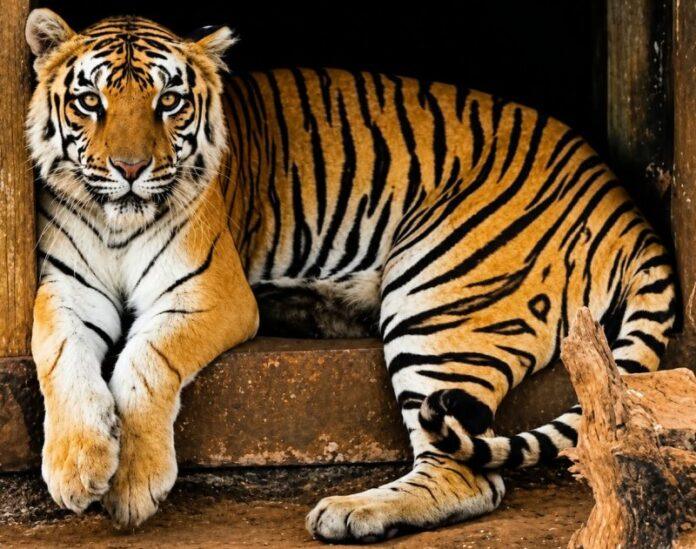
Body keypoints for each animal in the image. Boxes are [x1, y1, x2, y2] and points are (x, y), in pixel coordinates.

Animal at [24, 8, 676, 541]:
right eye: (90, 102)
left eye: (169, 102)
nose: (130, 168)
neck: (118, 224)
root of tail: (624, 203)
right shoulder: (66, 286)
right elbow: (56, 350)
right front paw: (78, 468)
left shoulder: (210, 290)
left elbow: (146, 361)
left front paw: (132, 486)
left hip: (436, 292)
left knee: (467, 474)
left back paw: (349, 512)